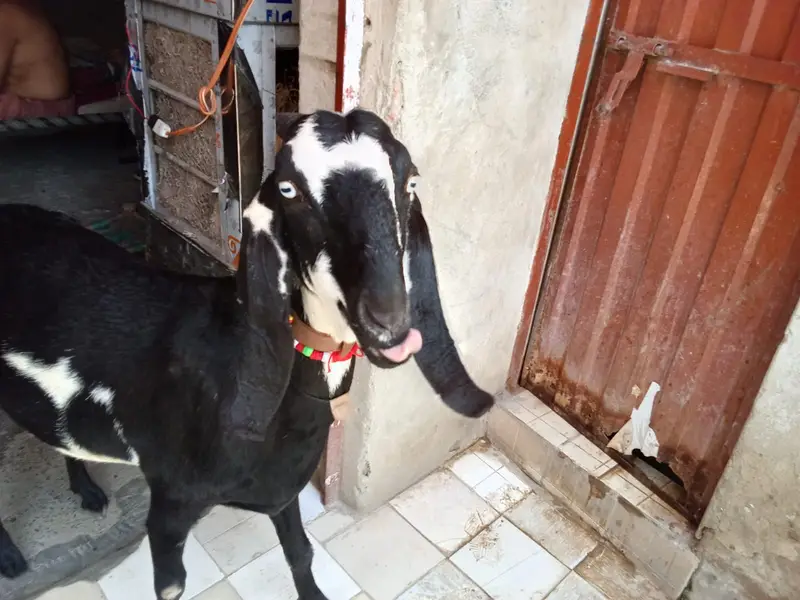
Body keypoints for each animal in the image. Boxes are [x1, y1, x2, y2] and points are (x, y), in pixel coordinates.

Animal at [0, 108, 493, 600]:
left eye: (410, 181)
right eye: (290, 191)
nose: (388, 320)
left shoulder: (282, 489)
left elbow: (300, 554)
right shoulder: (171, 504)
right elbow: (172, 586)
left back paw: (87, 491)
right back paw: (12, 558)